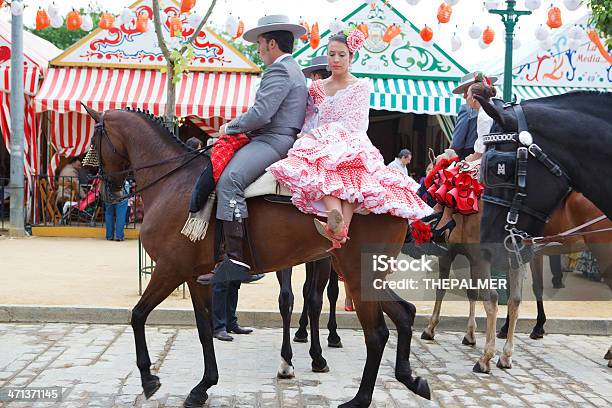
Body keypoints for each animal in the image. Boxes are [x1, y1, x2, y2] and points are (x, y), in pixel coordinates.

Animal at [85, 107, 430, 408]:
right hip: (366, 277)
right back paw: (410, 378)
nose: (105, 188)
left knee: (377, 334)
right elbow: (204, 328)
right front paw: (203, 386)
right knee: (404, 313)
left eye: (93, 140)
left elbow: (138, 315)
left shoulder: (170, 270)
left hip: (356, 274)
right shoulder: (195, 277)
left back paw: (360, 398)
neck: (175, 181)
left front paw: (148, 377)